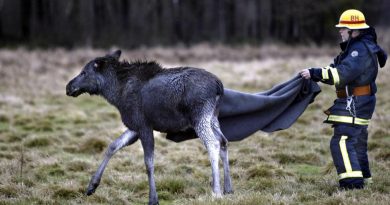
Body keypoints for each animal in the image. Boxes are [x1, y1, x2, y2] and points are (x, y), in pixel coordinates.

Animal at [65, 50, 233, 205]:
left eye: (84, 72)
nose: (68, 87)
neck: (115, 94)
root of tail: (219, 86)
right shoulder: (134, 126)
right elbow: (113, 146)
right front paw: (91, 186)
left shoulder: (143, 125)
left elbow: (148, 162)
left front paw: (153, 198)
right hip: (213, 117)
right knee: (223, 141)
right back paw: (228, 188)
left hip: (199, 117)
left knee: (213, 143)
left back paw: (216, 191)